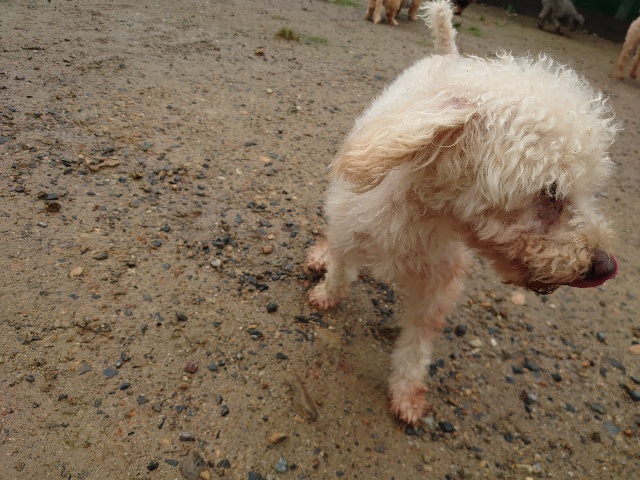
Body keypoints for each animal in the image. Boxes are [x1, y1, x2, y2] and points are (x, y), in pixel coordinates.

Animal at [308, 0, 619, 425]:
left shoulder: (439, 283)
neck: (425, 214)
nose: (605, 267)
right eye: (552, 192)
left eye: (589, 190)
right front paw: (327, 293)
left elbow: (417, 344)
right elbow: (340, 270)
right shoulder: (349, 228)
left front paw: (407, 393)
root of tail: (448, 56)